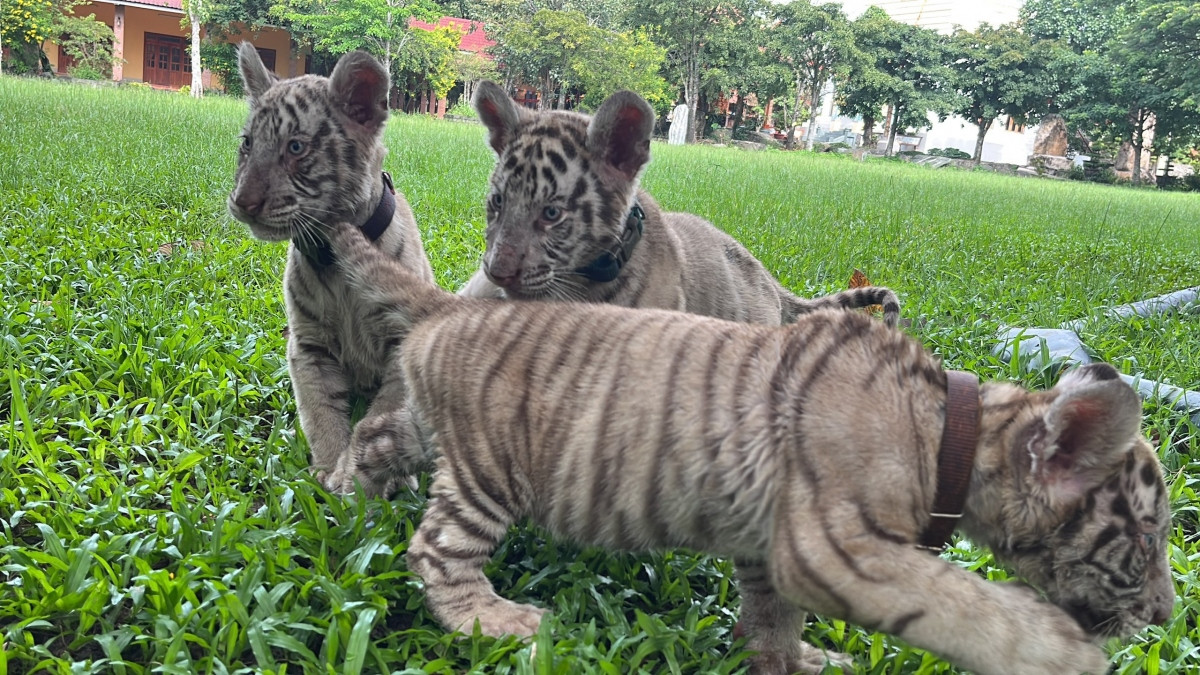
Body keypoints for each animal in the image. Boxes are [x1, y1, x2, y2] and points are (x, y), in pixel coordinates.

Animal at [226, 43, 434, 496]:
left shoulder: (401, 345)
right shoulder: (309, 345)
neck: (332, 252)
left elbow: (380, 415)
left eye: (296, 148)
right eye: (247, 143)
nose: (242, 202)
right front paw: (326, 470)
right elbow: (318, 409)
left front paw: (354, 477)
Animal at [324, 218, 1174, 675]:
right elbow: (961, 600)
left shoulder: (772, 550)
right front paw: (1060, 652)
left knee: (373, 437)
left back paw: (339, 497)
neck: (955, 431)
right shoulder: (835, 546)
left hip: (429, 428)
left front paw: (795, 660)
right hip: (493, 469)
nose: (1166, 615)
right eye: (1147, 538)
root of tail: (449, 307)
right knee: (437, 550)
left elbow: (773, 620)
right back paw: (495, 620)